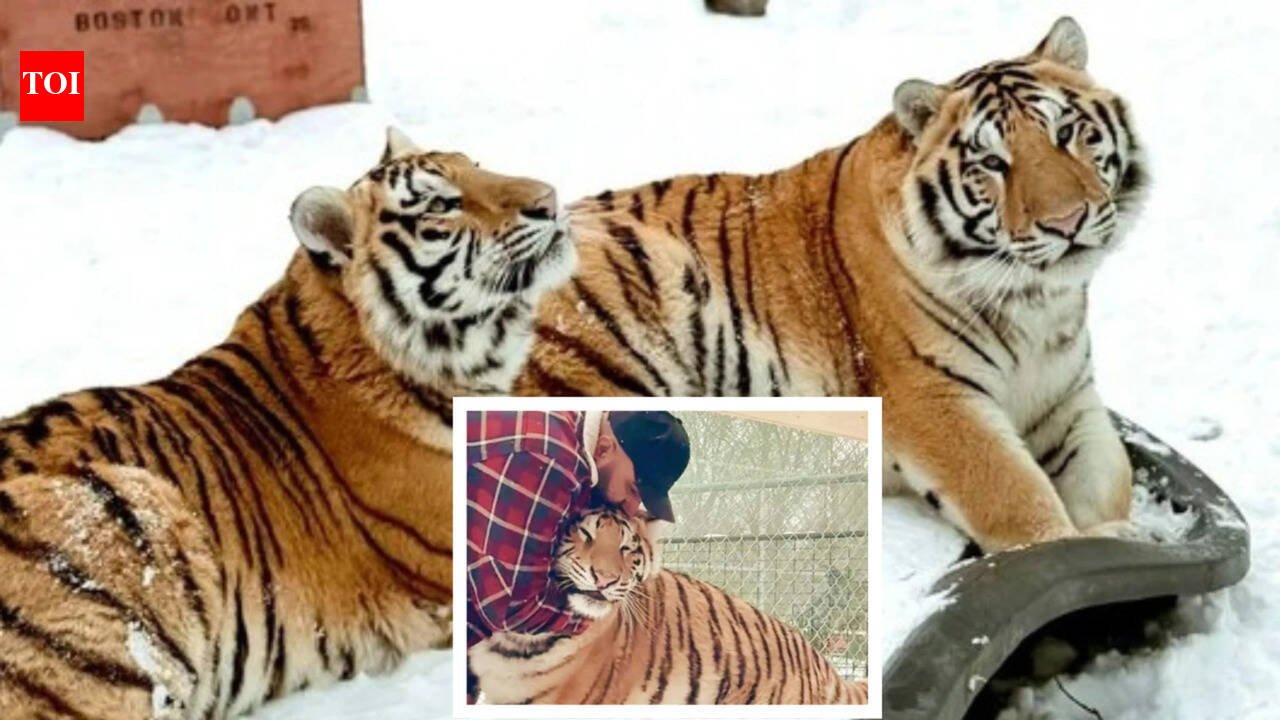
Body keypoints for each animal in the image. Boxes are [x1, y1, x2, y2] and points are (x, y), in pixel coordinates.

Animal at [516, 17, 1149, 553]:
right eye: (992, 164)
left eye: (1067, 133)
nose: (1066, 222)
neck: (1040, 304)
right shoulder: (936, 398)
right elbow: (1016, 496)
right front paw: (1086, 547)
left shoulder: (1069, 402)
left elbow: (1111, 474)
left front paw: (1122, 530)